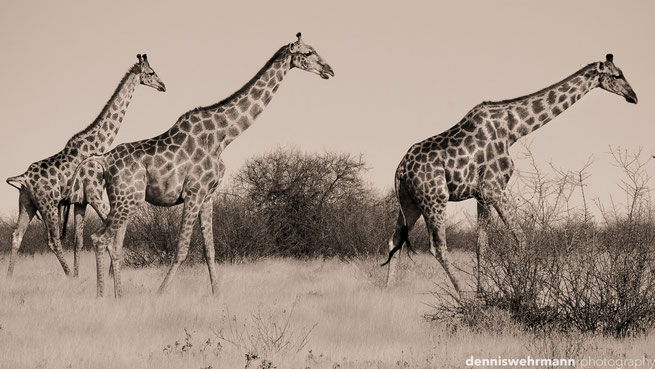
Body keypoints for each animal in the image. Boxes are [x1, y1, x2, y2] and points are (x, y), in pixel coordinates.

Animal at [6, 54, 165, 278]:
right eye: (151, 72)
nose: (163, 86)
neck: (97, 145)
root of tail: (24, 177)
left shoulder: (80, 201)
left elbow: (78, 241)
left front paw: (83, 273)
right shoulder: (95, 194)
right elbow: (111, 229)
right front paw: (105, 273)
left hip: (26, 203)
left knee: (17, 235)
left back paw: (9, 276)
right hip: (48, 205)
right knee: (53, 241)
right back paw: (67, 276)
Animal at [68, 31, 336, 296]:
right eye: (308, 53)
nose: (330, 70)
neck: (223, 137)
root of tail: (104, 159)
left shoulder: (208, 196)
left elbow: (210, 250)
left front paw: (217, 296)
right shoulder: (194, 193)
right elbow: (182, 248)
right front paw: (160, 294)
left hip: (121, 201)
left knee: (110, 242)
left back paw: (116, 296)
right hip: (128, 199)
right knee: (101, 238)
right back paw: (103, 297)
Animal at [382, 54, 640, 296]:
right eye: (617, 75)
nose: (634, 97)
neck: (512, 129)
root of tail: (400, 170)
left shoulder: (483, 194)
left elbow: (482, 245)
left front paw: (484, 292)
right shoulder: (493, 188)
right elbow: (520, 237)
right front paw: (524, 288)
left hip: (410, 203)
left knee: (394, 241)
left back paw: (388, 291)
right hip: (435, 199)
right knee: (437, 247)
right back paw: (462, 296)